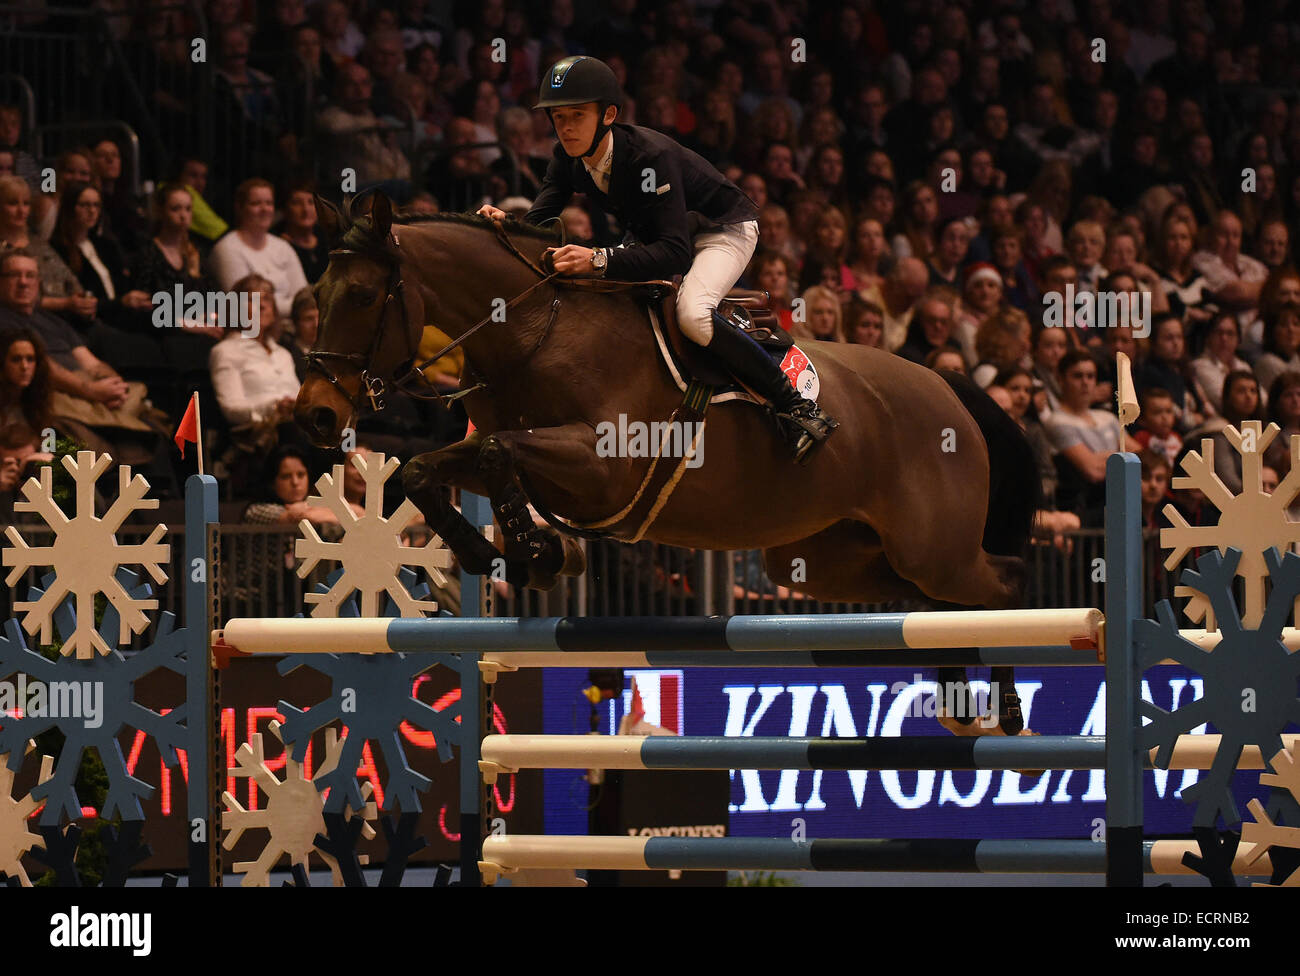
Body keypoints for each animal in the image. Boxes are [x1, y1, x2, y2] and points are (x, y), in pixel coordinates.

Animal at [299, 196, 1040, 732]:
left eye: (362, 296)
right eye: (315, 293)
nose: (315, 415)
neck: (539, 329)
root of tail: (948, 384)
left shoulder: (602, 468)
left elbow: (493, 450)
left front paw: (535, 551)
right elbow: (428, 468)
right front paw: (492, 553)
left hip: (931, 549)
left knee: (1001, 585)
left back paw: (1007, 709)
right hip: (829, 558)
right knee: (934, 603)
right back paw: (958, 696)